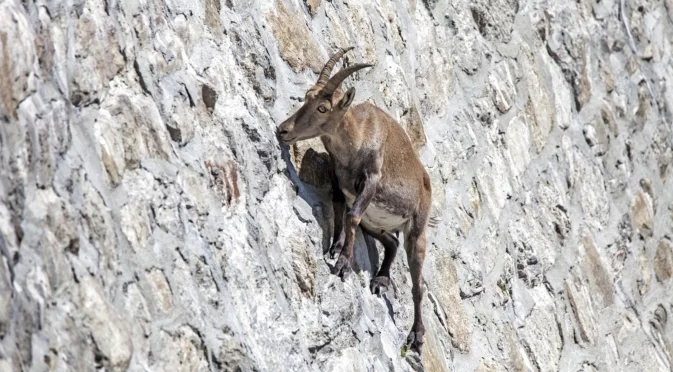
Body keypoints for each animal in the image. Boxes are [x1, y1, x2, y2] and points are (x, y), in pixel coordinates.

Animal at [278, 48, 436, 354]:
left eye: (323, 108)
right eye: (306, 96)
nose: (283, 130)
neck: (357, 135)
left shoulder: (372, 179)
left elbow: (351, 215)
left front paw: (342, 263)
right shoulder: (340, 178)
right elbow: (341, 206)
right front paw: (336, 246)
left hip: (417, 230)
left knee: (417, 285)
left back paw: (416, 335)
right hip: (376, 222)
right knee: (391, 241)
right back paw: (380, 280)